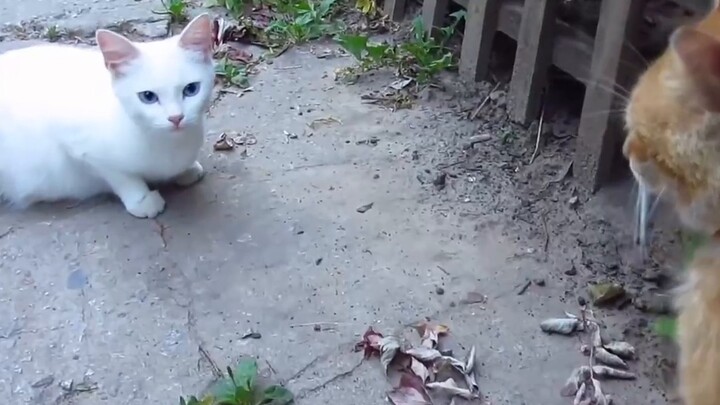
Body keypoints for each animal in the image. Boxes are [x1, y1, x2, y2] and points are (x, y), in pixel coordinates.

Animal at [0, 13, 217, 218]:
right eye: (148, 96)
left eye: (191, 89)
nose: (176, 118)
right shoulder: (82, 149)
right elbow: (122, 177)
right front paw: (142, 200)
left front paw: (187, 169)